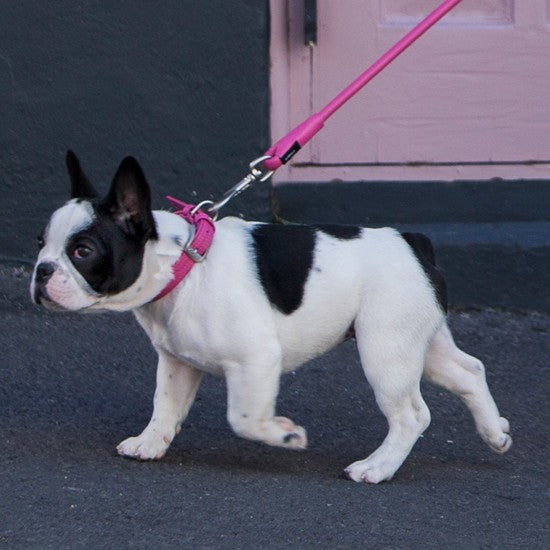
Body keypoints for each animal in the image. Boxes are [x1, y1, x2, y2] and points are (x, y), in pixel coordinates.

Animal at [30, 153, 512, 486]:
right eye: (41, 243)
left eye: (83, 251)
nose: (42, 271)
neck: (184, 265)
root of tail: (413, 242)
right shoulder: (177, 361)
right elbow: (164, 404)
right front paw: (150, 443)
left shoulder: (256, 360)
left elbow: (242, 417)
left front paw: (285, 435)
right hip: (419, 340)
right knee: (469, 371)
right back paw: (495, 434)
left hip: (385, 349)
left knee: (412, 415)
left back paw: (376, 468)